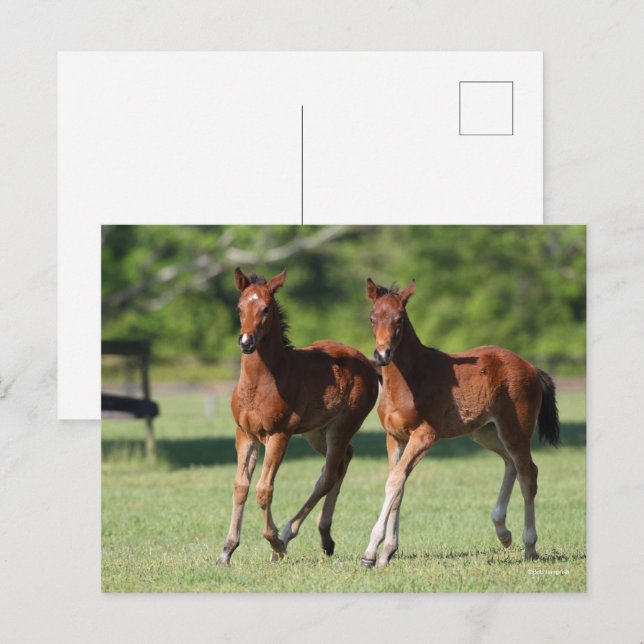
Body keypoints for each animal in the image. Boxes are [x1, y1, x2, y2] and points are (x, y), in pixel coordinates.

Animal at [216, 268, 380, 564]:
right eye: (239, 307)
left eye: (266, 308)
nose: (246, 342)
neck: (262, 382)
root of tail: (368, 364)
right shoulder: (244, 434)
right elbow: (240, 486)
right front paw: (227, 550)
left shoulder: (279, 434)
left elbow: (263, 489)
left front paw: (273, 542)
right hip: (315, 432)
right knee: (342, 462)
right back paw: (325, 537)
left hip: (342, 426)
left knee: (329, 474)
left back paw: (286, 537)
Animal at [360, 278, 560, 568]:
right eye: (372, 317)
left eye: (400, 319)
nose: (382, 354)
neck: (410, 379)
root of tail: (531, 367)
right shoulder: (394, 438)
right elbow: (398, 487)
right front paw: (387, 553)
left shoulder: (425, 436)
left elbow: (395, 481)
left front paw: (371, 553)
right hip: (485, 432)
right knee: (510, 463)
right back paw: (503, 532)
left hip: (516, 430)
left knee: (528, 474)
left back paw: (530, 546)